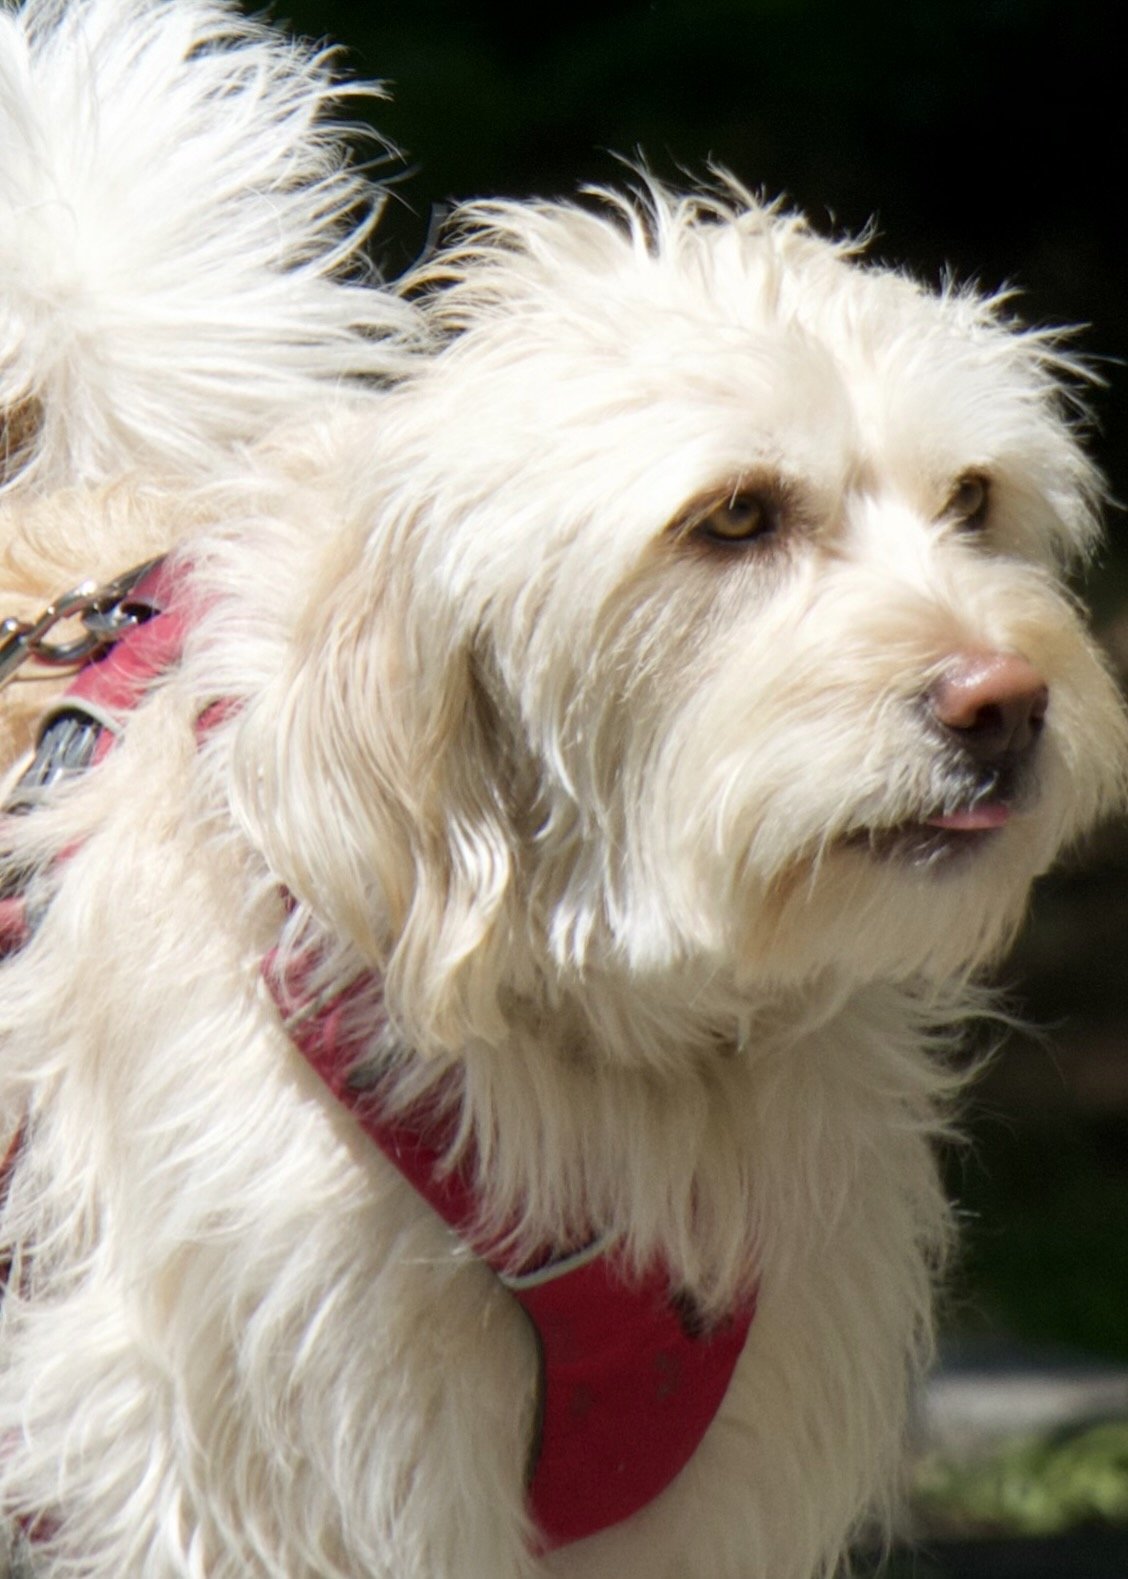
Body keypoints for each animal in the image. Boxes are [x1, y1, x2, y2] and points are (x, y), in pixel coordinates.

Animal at [2, 1, 1126, 1575]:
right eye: (735, 516)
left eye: (973, 499)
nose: (1006, 702)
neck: (636, 1047)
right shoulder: (270, 1472)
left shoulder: (714, 1494)